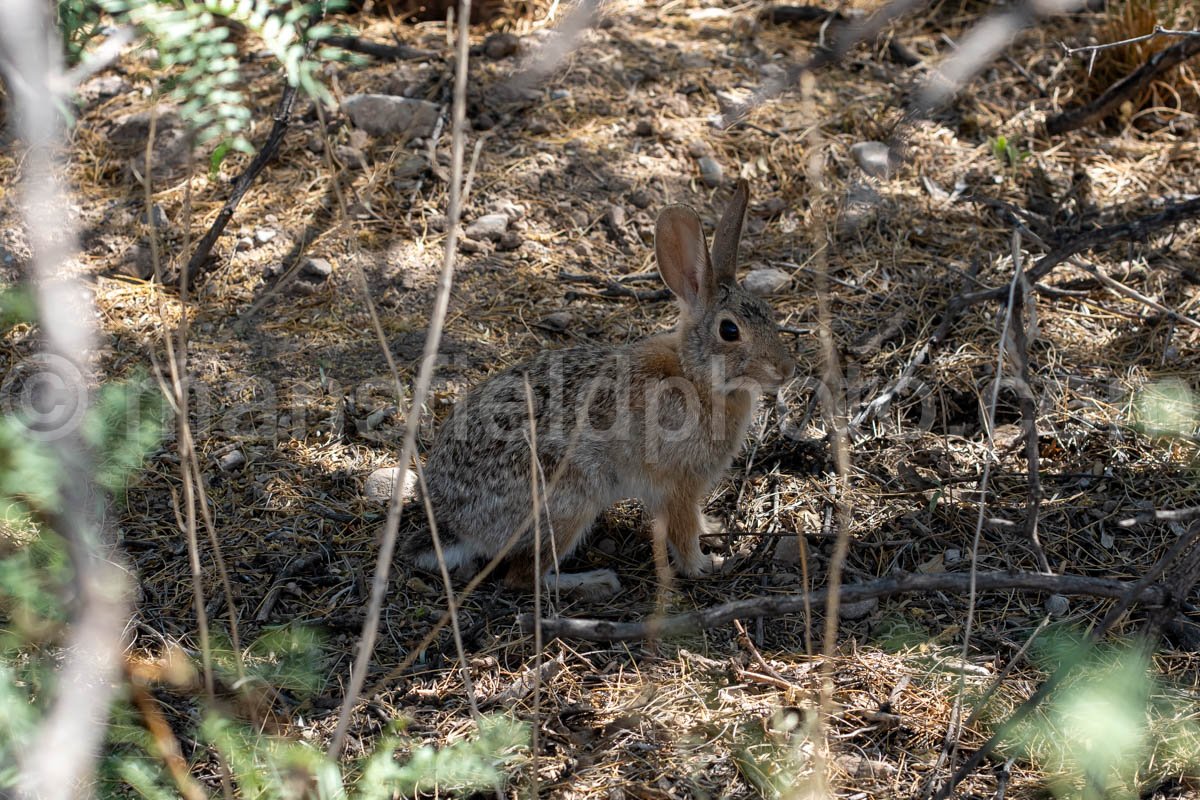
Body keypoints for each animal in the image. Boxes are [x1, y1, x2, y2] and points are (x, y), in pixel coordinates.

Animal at [412, 178, 796, 597]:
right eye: (729, 330)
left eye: (769, 314)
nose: (786, 369)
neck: (696, 375)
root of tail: (455, 524)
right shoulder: (676, 484)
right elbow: (682, 532)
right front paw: (707, 564)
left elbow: (694, 519)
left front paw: (713, 527)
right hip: (569, 502)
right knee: (524, 577)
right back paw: (595, 580)